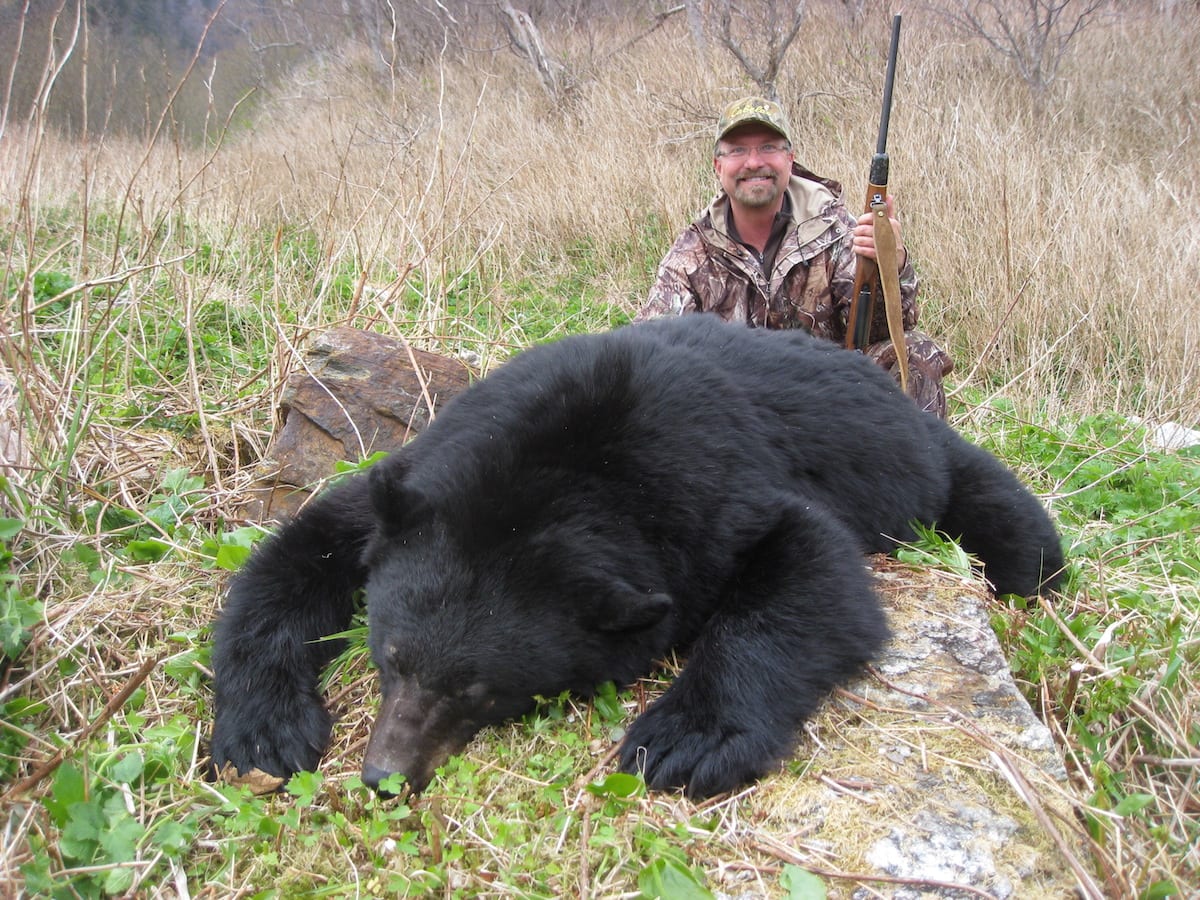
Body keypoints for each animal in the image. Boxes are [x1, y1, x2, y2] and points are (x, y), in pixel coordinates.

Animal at [211, 314, 1065, 801]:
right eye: (390, 658)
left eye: (482, 692)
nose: (386, 777)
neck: (561, 472)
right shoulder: (419, 484)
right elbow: (294, 558)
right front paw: (263, 732)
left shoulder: (720, 496)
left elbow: (812, 572)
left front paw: (687, 739)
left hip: (921, 458)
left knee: (1003, 517)